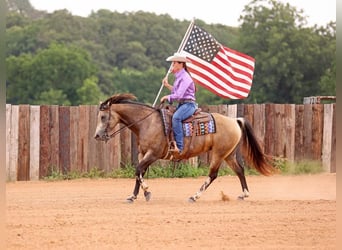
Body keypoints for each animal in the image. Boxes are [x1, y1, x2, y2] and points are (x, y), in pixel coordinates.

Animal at [93, 93, 276, 202]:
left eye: (103, 117)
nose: (97, 136)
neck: (147, 123)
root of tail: (235, 120)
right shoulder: (142, 154)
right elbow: (139, 172)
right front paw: (133, 195)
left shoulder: (153, 154)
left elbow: (138, 170)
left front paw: (147, 192)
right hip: (228, 154)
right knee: (239, 170)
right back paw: (244, 194)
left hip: (218, 154)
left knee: (213, 175)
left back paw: (194, 196)